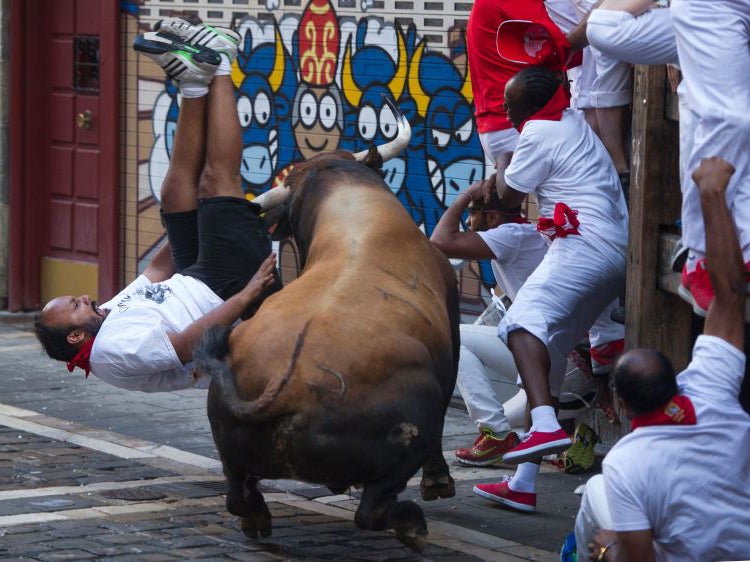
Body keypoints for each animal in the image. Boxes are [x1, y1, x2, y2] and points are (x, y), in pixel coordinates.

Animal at [194, 106, 462, 552]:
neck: (354, 213)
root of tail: (287, 386)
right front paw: (438, 481)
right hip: (408, 430)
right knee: (372, 508)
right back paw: (411, 525)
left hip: (226, 441)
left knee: (237, 492)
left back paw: (256, 520)